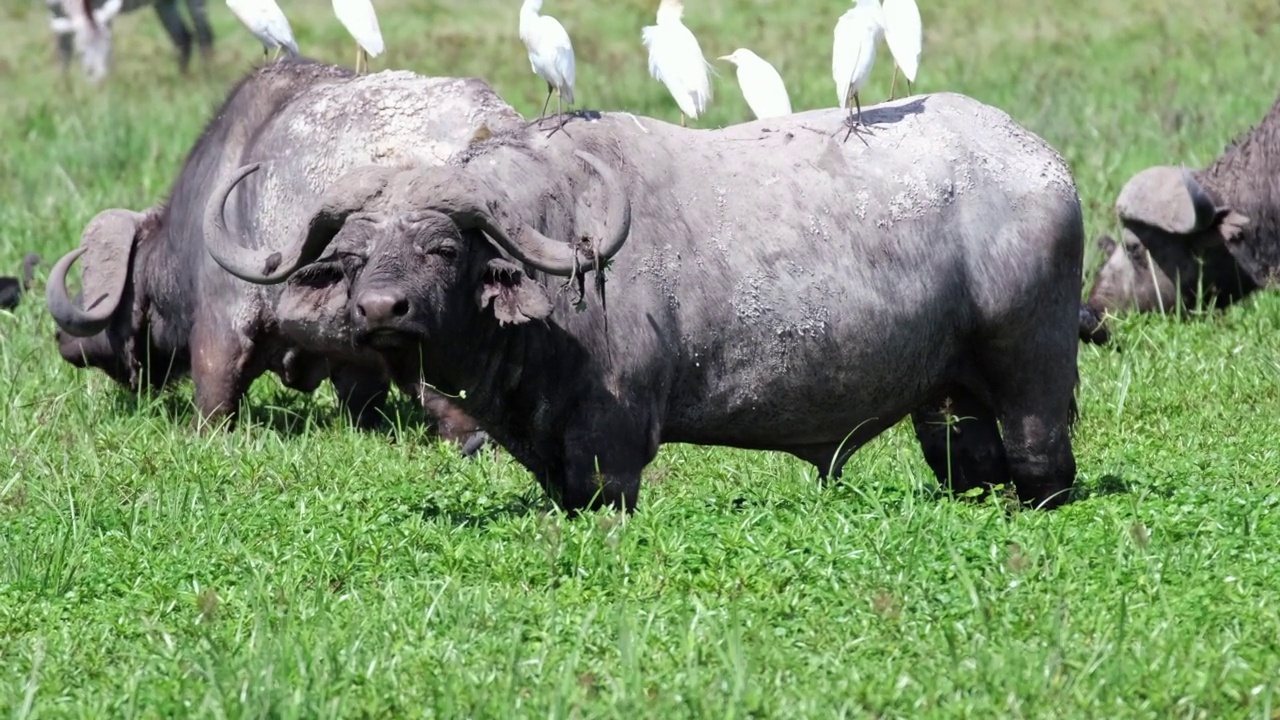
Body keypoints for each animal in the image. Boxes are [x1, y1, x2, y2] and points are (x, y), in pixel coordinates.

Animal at [212, 94, 1090, 509]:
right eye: (357, 254)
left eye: (444, 248)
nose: (382, 311)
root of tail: (1046, 164)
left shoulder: (615, 444)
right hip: (950, 396)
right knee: (969, 461)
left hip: (1033, 371)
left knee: (1041, 459)